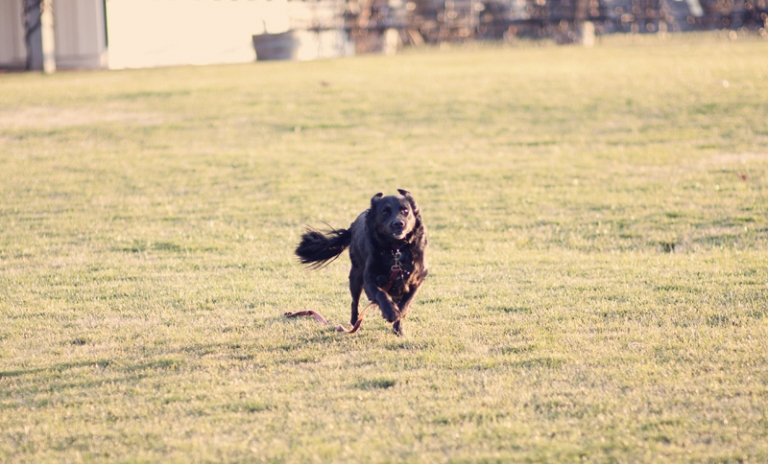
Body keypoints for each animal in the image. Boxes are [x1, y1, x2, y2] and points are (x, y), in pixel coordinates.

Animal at [295, 189, 428, 335]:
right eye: (385, 212)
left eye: (405, 210)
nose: (398, 223)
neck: (396, 250)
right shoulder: (370, 279)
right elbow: (380, 293)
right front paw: (390, 312)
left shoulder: (417, 277)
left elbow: (407, 299)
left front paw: (400, 314)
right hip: (356, 276)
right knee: (355, 302)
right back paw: (354, 323)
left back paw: (398, 329)